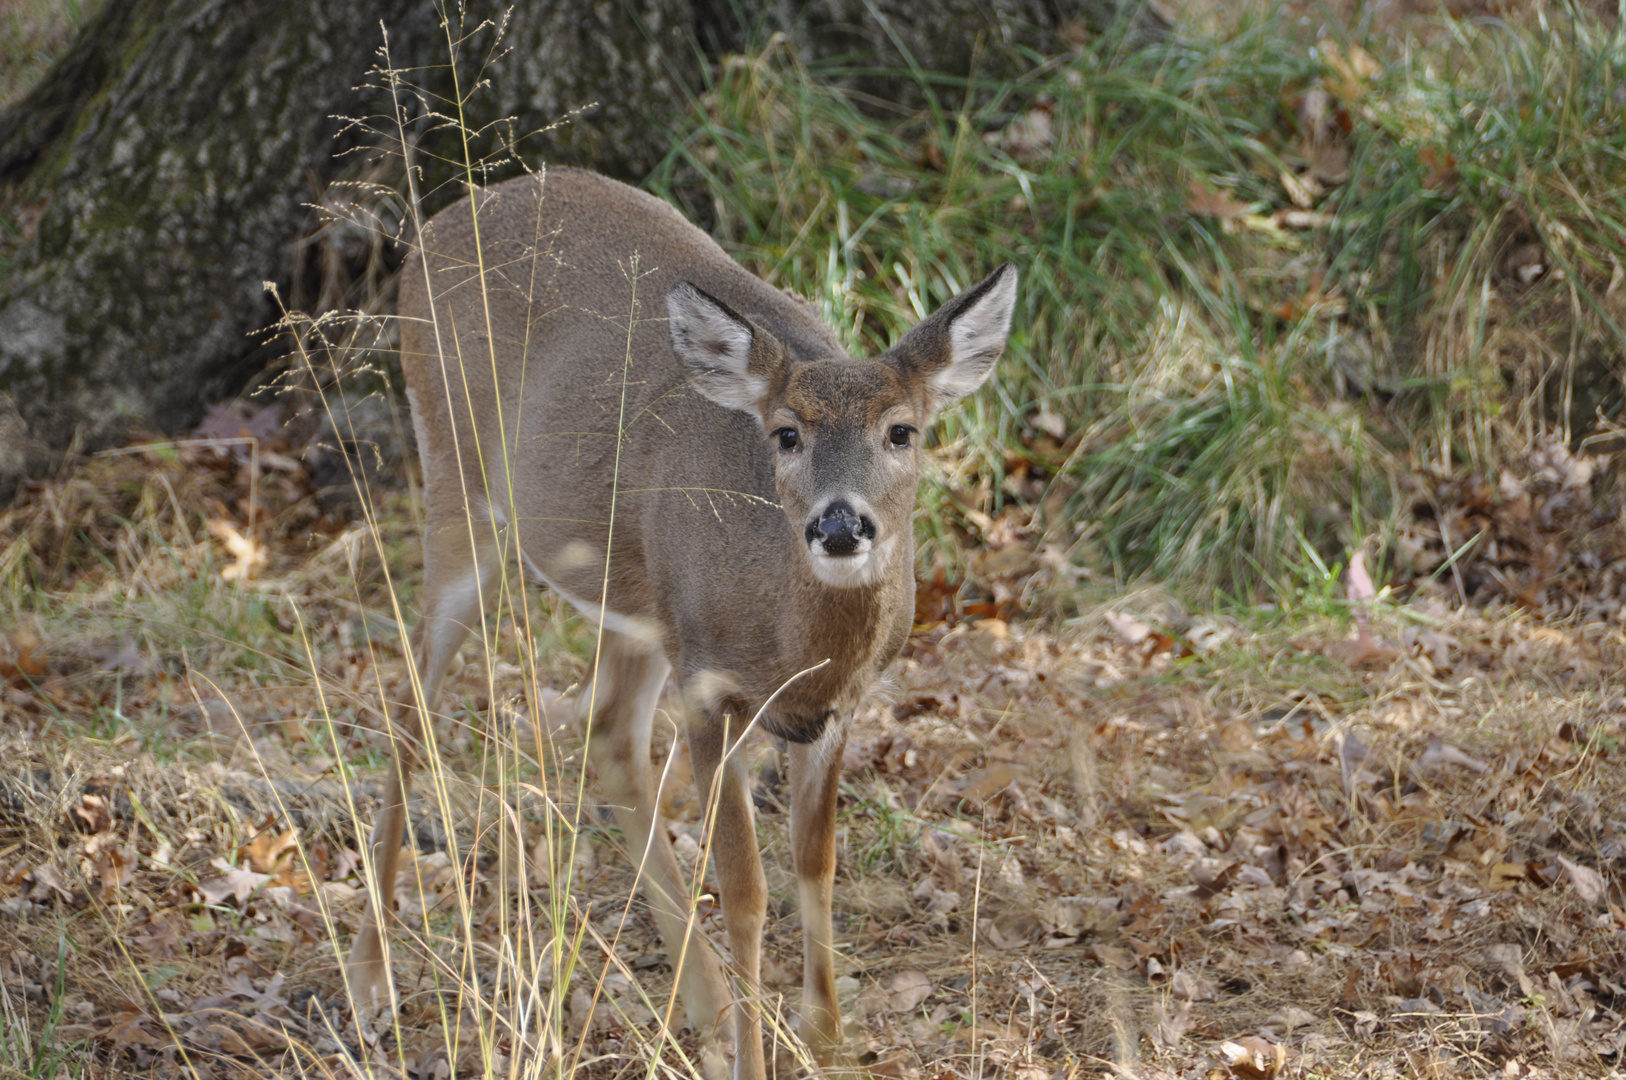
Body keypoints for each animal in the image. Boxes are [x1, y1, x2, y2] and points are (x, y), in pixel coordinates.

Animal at [346, 162, 1014, 1080]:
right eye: (786, 434)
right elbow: (745, 889)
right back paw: (371, 986)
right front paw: (760, 1056)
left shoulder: (836, 709)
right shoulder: (709, 686)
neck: (794, 647)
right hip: (456, 474)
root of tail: (451, 214)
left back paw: (704, 1004)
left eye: (902, 431)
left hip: (636, 595)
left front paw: (825, 1041)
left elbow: (816, 863)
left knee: (605, 730)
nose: (841, 525)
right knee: (411, 702)